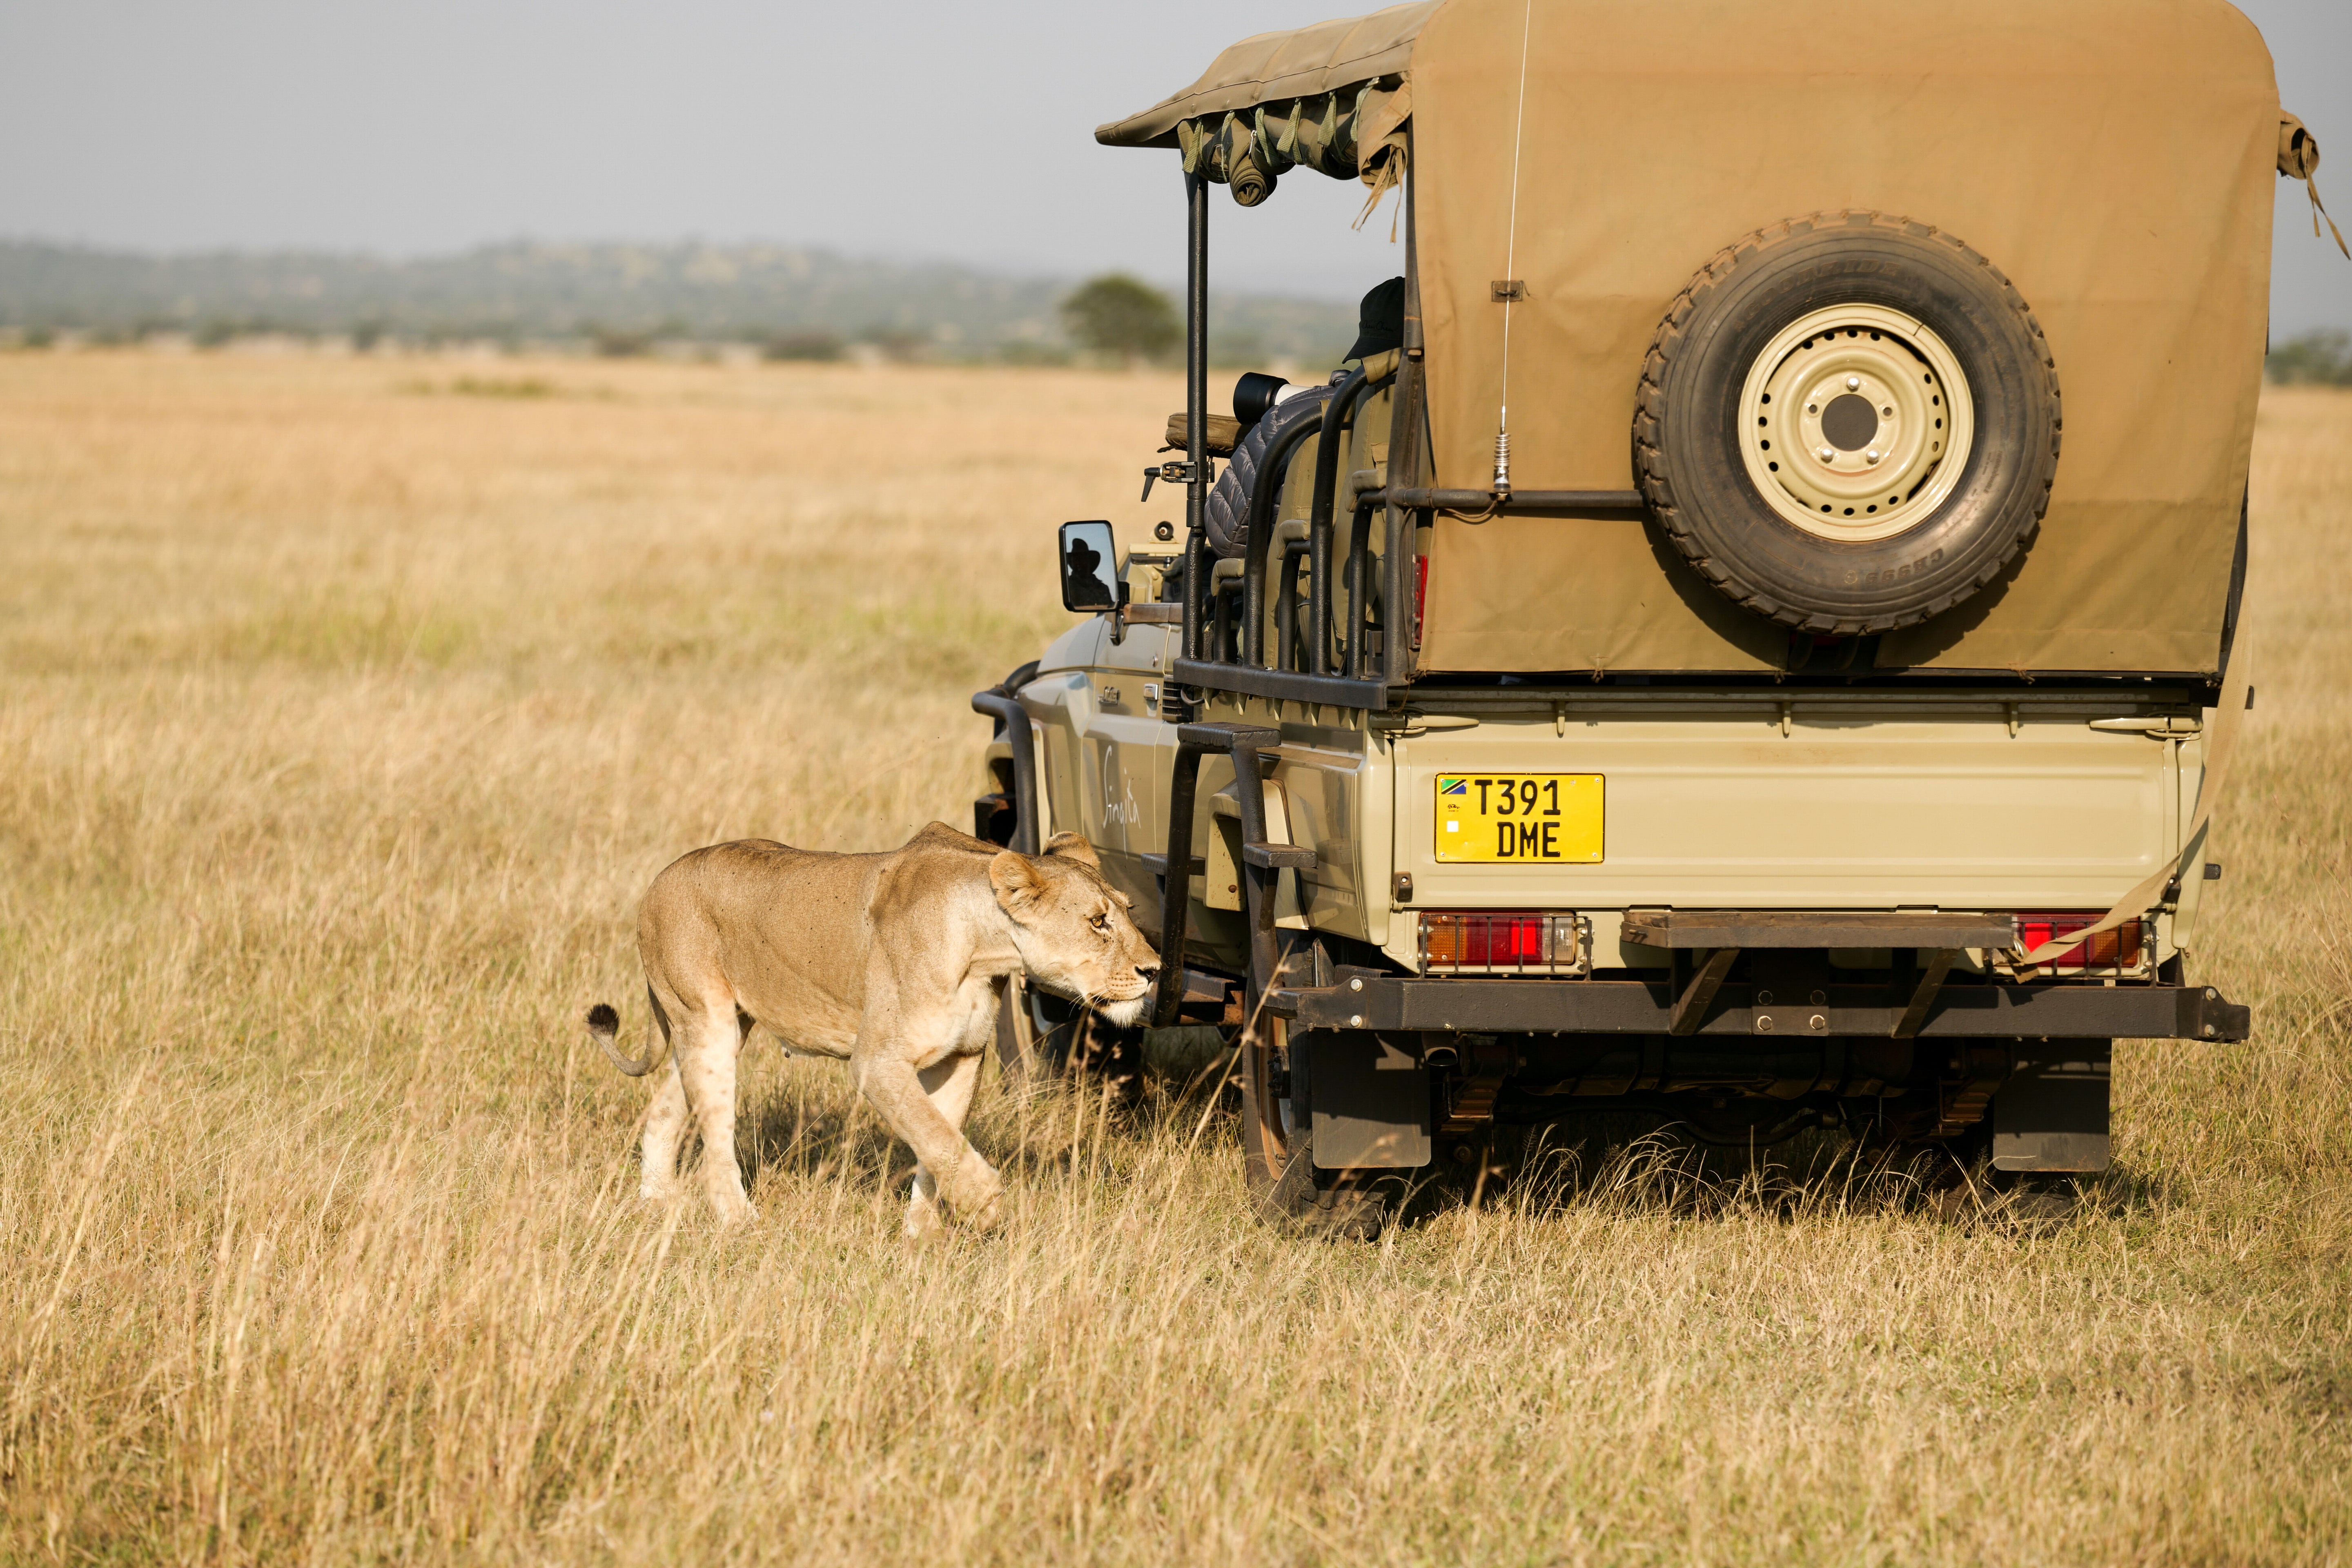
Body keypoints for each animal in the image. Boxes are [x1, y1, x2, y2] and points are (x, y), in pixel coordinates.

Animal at [586, 822, 1158, 1236]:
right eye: (1098, 922)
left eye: (1129, 911)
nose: (1154, 970)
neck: (985, 949)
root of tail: (660, 879)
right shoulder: (877, 1062)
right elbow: (937, 1136)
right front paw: (986, 1206)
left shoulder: (962, 1057)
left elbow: (937, 1140)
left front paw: (922, 1236)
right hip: (708, 1022)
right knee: (715, 1130)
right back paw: (739, 1220)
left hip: (709, 1030)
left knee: (665, 1111)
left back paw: (656, 1202)